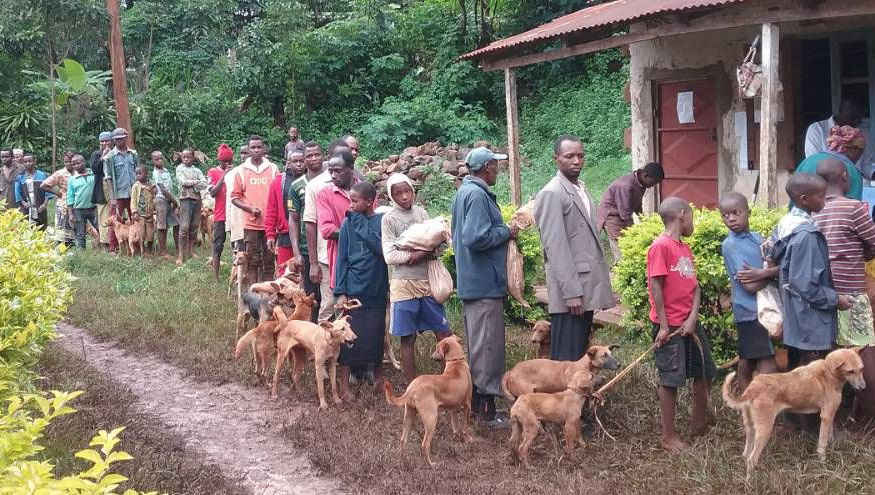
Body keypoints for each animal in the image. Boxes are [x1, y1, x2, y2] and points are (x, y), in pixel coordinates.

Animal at [386, 336, 476, 466]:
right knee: (424, 445)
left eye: (437, 349)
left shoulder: (453, 407)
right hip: (431, 419)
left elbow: (454, 422)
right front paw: (468, 439)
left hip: (409, 416)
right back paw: (431, 464)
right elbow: (465, 426)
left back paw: (404, 461)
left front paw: (456, 437)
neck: (456, 362)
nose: (431, 356)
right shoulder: (467, 405)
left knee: (403, 440)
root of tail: (412, 388)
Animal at [724, 346, 864, 474]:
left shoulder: (829, 416)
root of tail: (753, 388)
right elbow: (822, 444)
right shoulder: (826, 416)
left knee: (745, 455)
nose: (863, 387)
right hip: (765, 430)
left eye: (861, 369)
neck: (828, 372)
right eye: (850, 371)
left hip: (751, 428)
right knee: (751, 460)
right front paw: (823, 463)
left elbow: (829, 436)